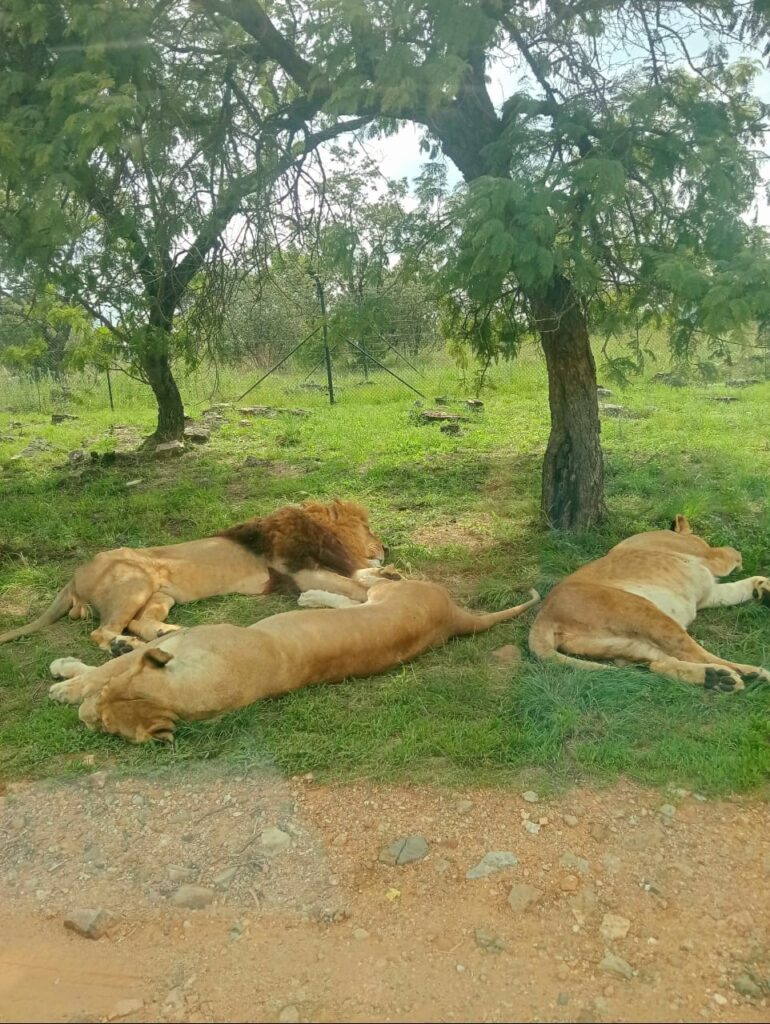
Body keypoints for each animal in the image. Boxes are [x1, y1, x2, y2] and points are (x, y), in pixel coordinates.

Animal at [0, 499, 386, 653]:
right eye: (369, 528)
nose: (385, 549)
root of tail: (74, 575)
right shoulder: (298, 572)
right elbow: (349, 582)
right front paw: (379, 579)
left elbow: (352, 577)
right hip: (134, 583)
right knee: (103, 631)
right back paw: (123, 646)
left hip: (159, 595)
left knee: (139, 621)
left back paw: (164, 633)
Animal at [47, 571, 541, 744]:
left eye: (105, 725)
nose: (85, 720)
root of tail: (456, 615)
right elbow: (117, 660)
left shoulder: (184, 640)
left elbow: (105, 669)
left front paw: (66, 683)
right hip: (377, 604)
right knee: (354, 596)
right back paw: (314, 597)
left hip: (391, 594)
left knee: (374, 579)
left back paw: (327, 586)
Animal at [529, 514, 770, 691]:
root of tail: (543, 616)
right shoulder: (709, 555)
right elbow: (732, 552)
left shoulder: (709, 593)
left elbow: (737, 589)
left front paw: (762, 588)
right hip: (646, 613)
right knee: (693, 653)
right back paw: (749, 673)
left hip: (623, 645)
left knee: (658, 664)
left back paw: (717, 678)